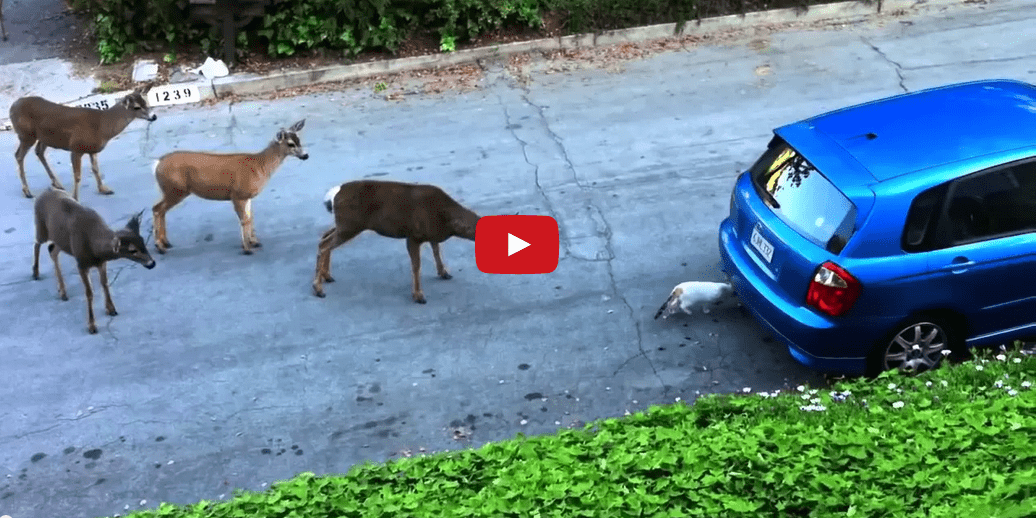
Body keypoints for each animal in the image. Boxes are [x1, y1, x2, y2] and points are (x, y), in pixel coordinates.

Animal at [9, 87, 157, 200]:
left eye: (146, 102)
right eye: (136, 107)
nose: (154, 116)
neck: (102, 126)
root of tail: (12, 107)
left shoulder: (92, 150)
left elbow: (96, 169)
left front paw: (104, 189)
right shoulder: (75, 147)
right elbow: (78, 176)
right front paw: (75, 198)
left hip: (44, 137)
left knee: (39, 151)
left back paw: (57, 183)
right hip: (26, 135)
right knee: (18, 155)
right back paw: (27, 191)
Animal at [32, 188, 157, 334]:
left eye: (143, 242)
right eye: (133, 250)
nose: (152, 263)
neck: (94, 248)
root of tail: (45, 191)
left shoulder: (101, 263)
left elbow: (105, 284)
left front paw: (111, 309)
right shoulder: (81, 263)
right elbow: (89, 292)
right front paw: (92, 325)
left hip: (61, 240)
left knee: (52, 250)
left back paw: (62, 291)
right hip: (41, 227)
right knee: (37, 244)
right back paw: (35, 273)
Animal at [151, 119, 309, 256]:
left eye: (299, 140)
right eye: (290, 144)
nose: (306, 155)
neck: (259, 166)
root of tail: (157, 163)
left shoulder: (247, 196)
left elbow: (250, 218)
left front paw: (254, 242)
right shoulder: (237, 194)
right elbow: (244, 220)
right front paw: (247, 248)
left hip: (172, 190)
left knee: (159, 209)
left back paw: (166, 243)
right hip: (175, 190)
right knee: (157, 209)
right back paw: (160, 246)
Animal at [313, 179, 481, 304]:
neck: (445, 219)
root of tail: (335, 194)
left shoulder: (431, 235)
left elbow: (436, 251)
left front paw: (444, 273)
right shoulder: (413, 235)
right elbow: (416, 265)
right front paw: (418, 296)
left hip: (345, 224)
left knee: (325, 236)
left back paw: (326, 276)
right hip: (350, 224)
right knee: (324, 244)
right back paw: (318, 289)